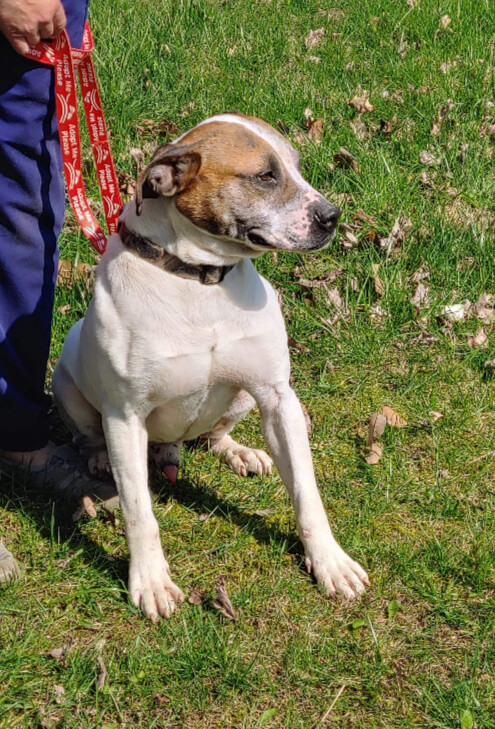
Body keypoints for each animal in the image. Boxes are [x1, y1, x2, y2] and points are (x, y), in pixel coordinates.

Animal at [53, 114, 368, 620]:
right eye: (265, 176)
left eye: (298, 167)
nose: (332, 217)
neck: (199, 280)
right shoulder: (126, 415)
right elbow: (139, 510)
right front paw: (151, 581)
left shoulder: (278, 398)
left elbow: (306, 492)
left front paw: (329, 563)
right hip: (67, 375)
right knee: (90, 435)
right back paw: (100, 456)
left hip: (242, 401)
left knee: (215, 435)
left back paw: (241, 453)